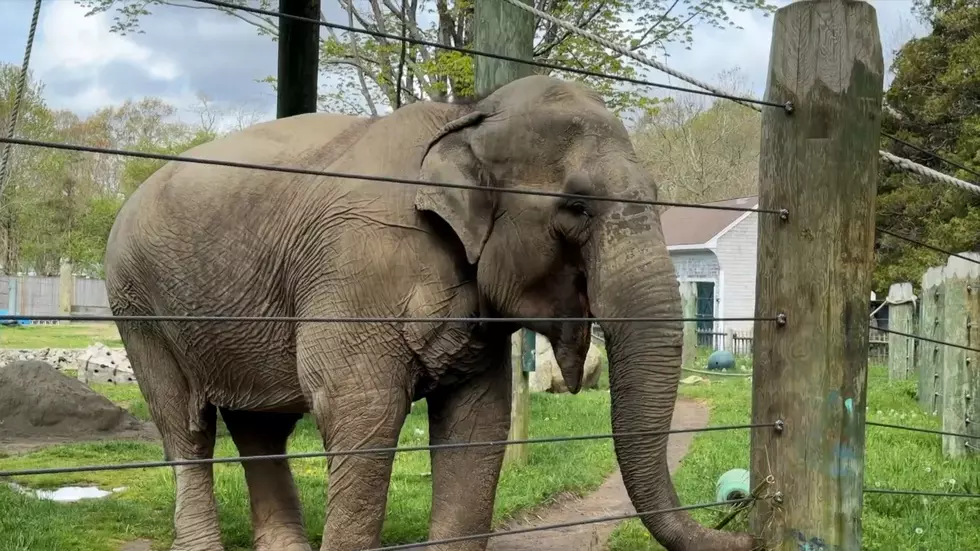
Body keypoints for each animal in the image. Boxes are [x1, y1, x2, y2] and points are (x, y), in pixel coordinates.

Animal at [102, 75, 756, 551]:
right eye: (575, 207)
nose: (743, 511)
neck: (464, 117)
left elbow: (476, 425)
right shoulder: (355, 266)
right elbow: (360, 412)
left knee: (261, 428)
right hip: (137, 306)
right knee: (186, 427)